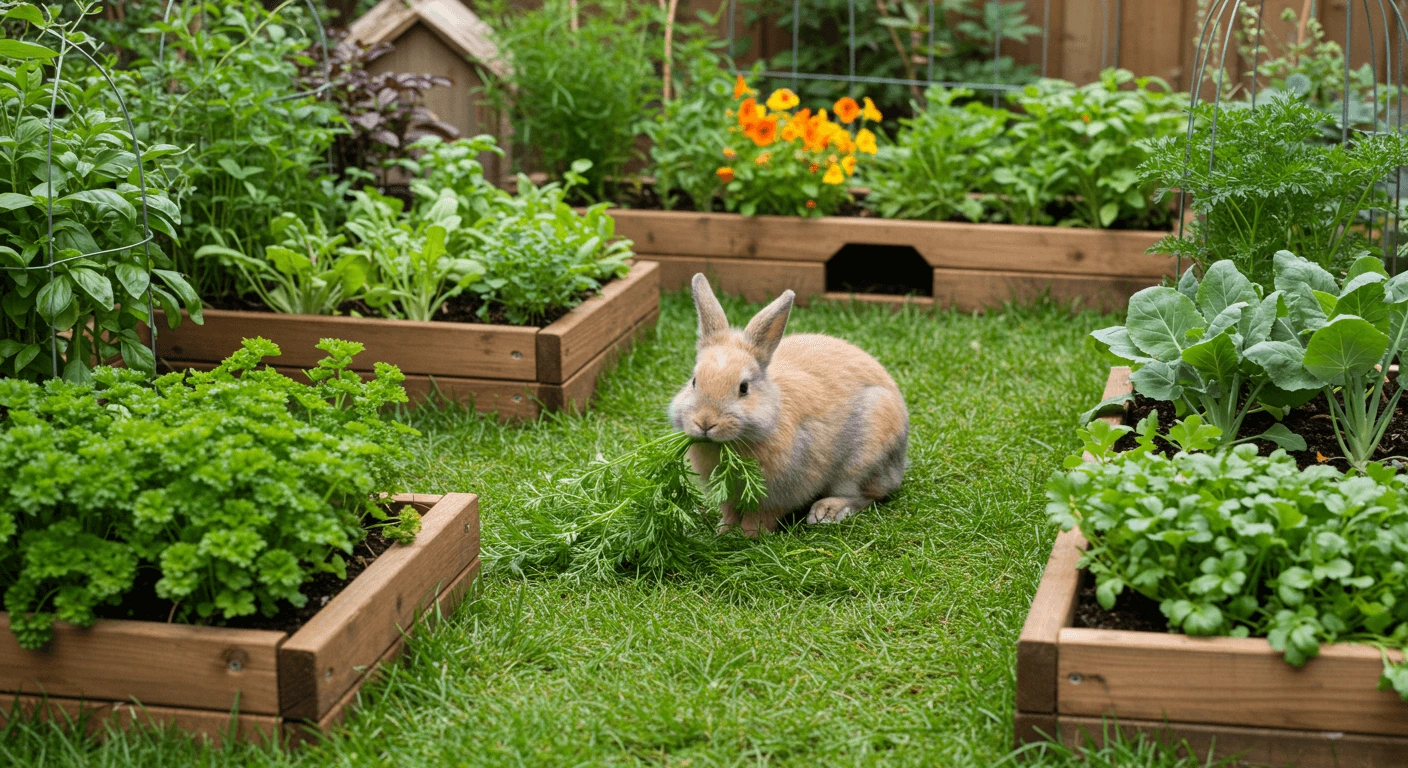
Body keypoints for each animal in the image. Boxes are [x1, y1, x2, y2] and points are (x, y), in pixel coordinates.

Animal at [670, 273, 912, 532]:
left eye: (744, 388)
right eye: (694, 381)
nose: (705, 422)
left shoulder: (781, 492)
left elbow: (761, 515)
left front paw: (748, 534)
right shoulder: (729, 496)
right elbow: (729, 511)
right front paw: (724, 530)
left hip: (864, 461)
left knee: (867, 495)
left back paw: (826, 512)